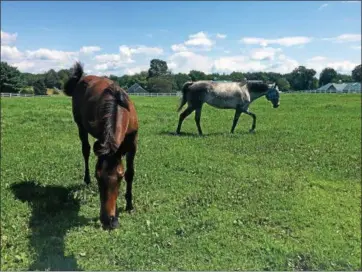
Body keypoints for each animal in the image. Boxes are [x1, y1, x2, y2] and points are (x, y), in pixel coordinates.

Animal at [63, 62, 139, 230]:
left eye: (120, 177)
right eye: (98, 176)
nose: (107, 220)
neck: (118, 107)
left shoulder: (133, 144)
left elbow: (130, 173)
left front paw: (129, 205)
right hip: (80, 126)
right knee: (85, 150)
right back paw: (86, 179)